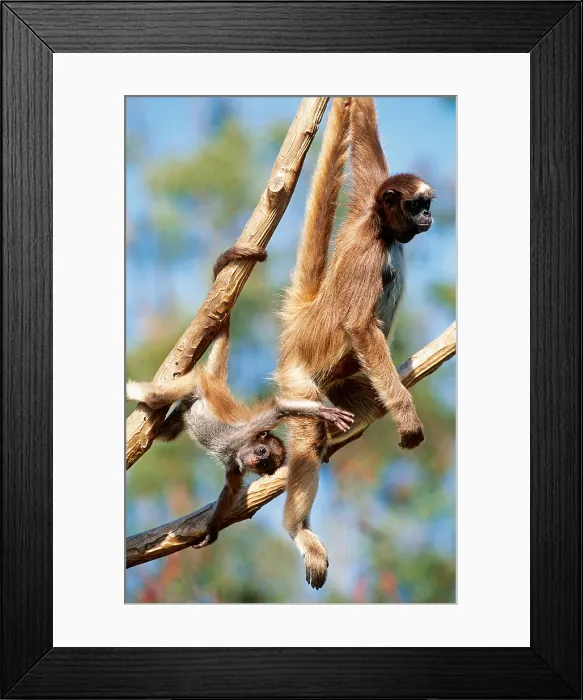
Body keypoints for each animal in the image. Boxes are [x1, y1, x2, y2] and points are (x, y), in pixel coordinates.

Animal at [126, 245, 354, 548]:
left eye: (266, 462)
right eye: (262, 452)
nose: (257, 461)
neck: (237, 449)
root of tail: (215, 383)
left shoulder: (235, 465)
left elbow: (230, 489)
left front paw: (211, 531)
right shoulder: (247, 431)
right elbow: (280, 408)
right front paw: (322, 411)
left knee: (167, 433)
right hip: (196, 384)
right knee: (153, 397)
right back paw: (133, 390)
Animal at [275, 96, 435, 588]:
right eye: (418, 205)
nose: (429, 216)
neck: (380, 229)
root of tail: (303, 323)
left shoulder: (366, 198)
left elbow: (363, 132)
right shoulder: (369, 253)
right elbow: (360, 328)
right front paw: (406, 415)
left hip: (343, 383)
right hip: (299, 380)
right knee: (309, 432)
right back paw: (298, 530)